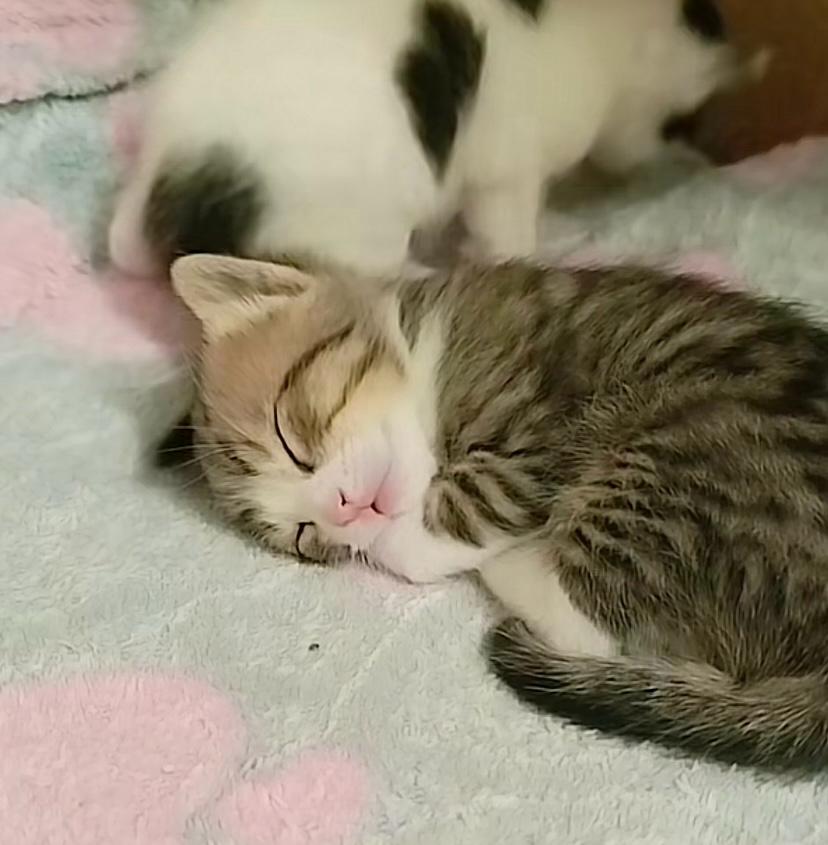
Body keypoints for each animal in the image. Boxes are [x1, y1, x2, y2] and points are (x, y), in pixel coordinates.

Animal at [109, 0, 757, 277]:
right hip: (359, 234)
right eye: (677, 122)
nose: (669, 154)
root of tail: (185, 185)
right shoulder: (506, 172)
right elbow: (507, 233)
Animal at [161, 251, 828, 772]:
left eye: (290, 437)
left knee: (591, 618)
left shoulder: (532, 426)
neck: (425, 355)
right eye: (304, 537)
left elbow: (458, 512)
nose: (343, 512)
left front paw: (407, 537)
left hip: (682, 457)